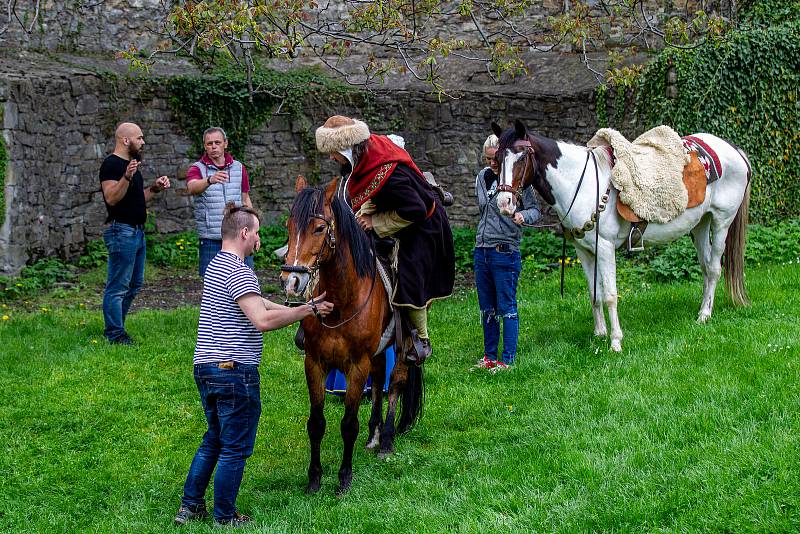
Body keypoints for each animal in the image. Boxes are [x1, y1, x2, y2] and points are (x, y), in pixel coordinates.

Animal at [280, 177, 422, 498]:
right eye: (289, 225)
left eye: (320, 228)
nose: (291, 281)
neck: (341, 301)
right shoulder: (315, 363)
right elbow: (316, 423)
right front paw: (314, 478)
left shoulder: (357, 365)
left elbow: (348, 424)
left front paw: (344, 478)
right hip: (378, 352)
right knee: (379, 380)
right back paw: (374, 434)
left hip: (402, 346)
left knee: (394, 384)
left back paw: (386, 441)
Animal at [490, 121, 752, 352]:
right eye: (498, 159)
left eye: (521, 157)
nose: (504, 203)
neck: (580, 184)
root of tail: (734, 150)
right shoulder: (584, 251)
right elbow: (594, 294)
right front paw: (599, 334)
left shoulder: (605, 248)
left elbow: (610, 295)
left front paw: (615, 341)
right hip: (700, 225)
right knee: (707, 267)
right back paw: (702, 309)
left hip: (721, 221)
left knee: (715, 269)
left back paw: (704, 316)